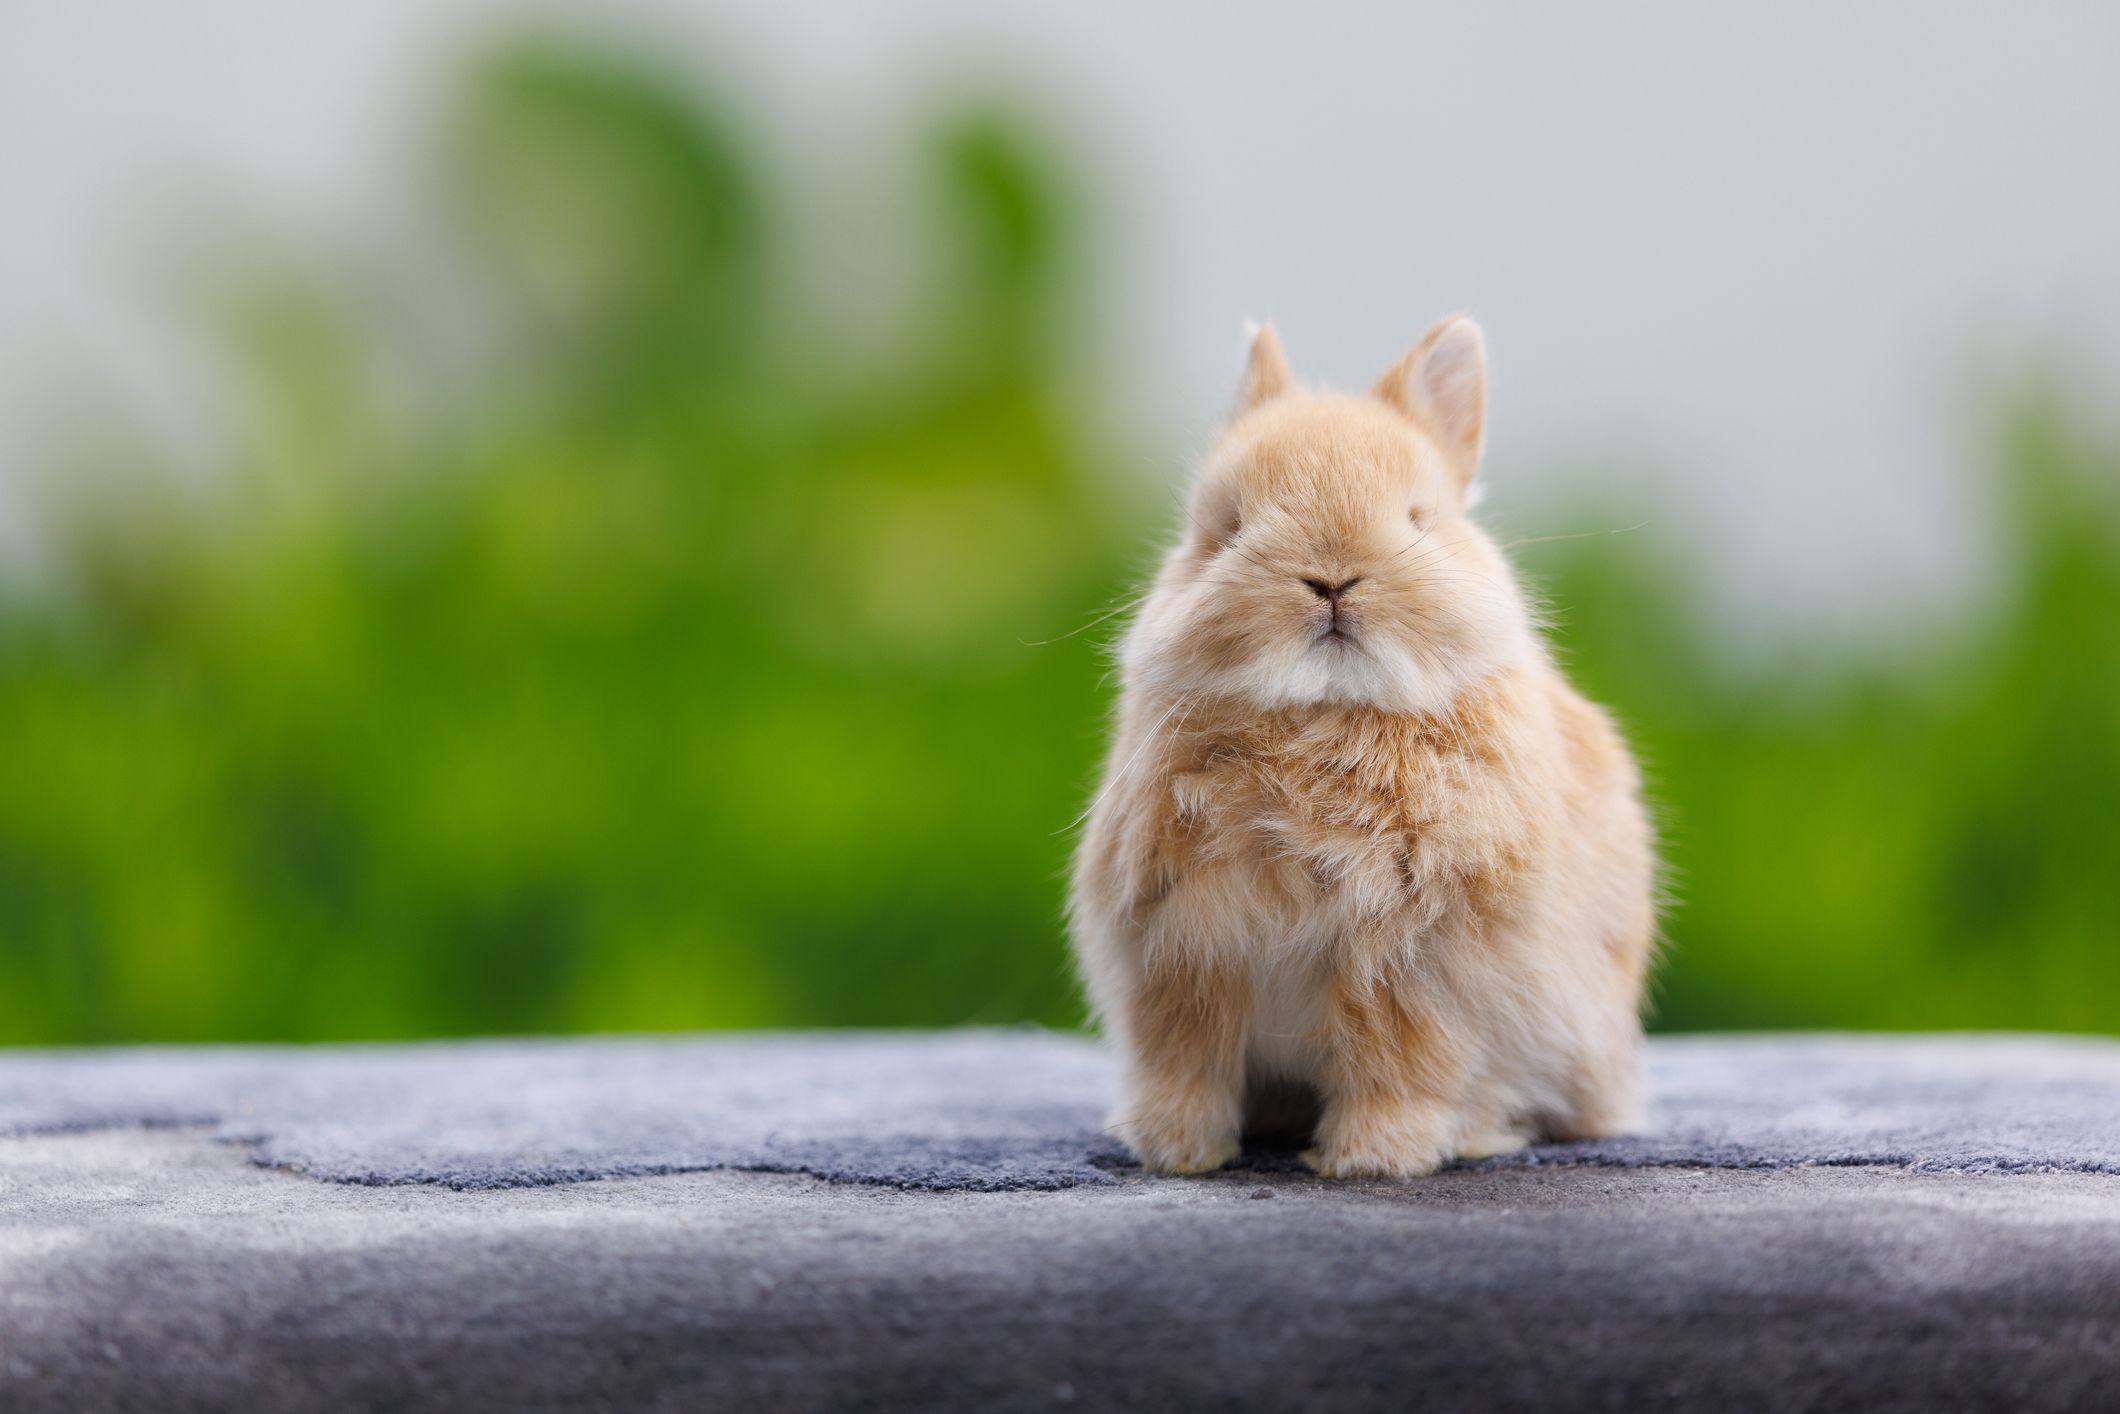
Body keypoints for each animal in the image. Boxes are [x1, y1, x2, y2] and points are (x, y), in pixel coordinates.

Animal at [1076, 320, 1653, 1187]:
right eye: (1226, 528)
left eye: (1419, 519)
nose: (1331, 578)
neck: (1323, 712)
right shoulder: (1182, 950)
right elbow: (1186, 1061)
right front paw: (1177, 1153)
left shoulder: (1412, 965)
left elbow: (1397, 1063)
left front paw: (1371, 1161)